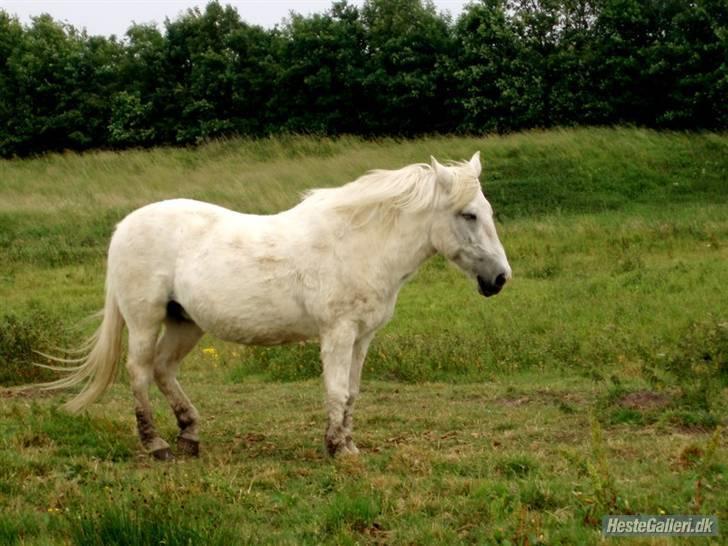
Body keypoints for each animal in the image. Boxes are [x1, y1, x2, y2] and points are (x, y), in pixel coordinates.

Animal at [37, 153, 510, 460]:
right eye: (468, 215)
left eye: (486, 210)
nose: (500, 279)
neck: (357, 243)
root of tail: (125, 225)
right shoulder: (338, 333)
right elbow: (336, 389)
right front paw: (337, 449)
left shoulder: (363, 337)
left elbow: (352, 392)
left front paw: (348, 443)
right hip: (145, 319)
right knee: (138, 372)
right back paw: (157, 445)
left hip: (185, 322)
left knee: (163, 369)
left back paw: (190, 436)